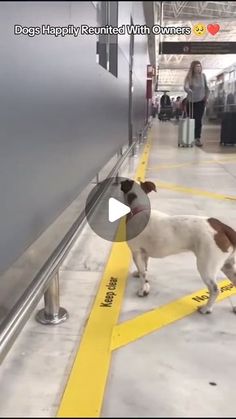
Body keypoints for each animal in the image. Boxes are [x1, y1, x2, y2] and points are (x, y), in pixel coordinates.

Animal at [121, 179, 236, 314]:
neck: (139, 209)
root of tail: (222, 227)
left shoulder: (136, 252)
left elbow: (142, 273)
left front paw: (142, 290)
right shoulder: (144, 253)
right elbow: (144, 269)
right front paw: (143, 280)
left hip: (206, 266)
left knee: (214, 289)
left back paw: (206, 308)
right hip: (227, 265)